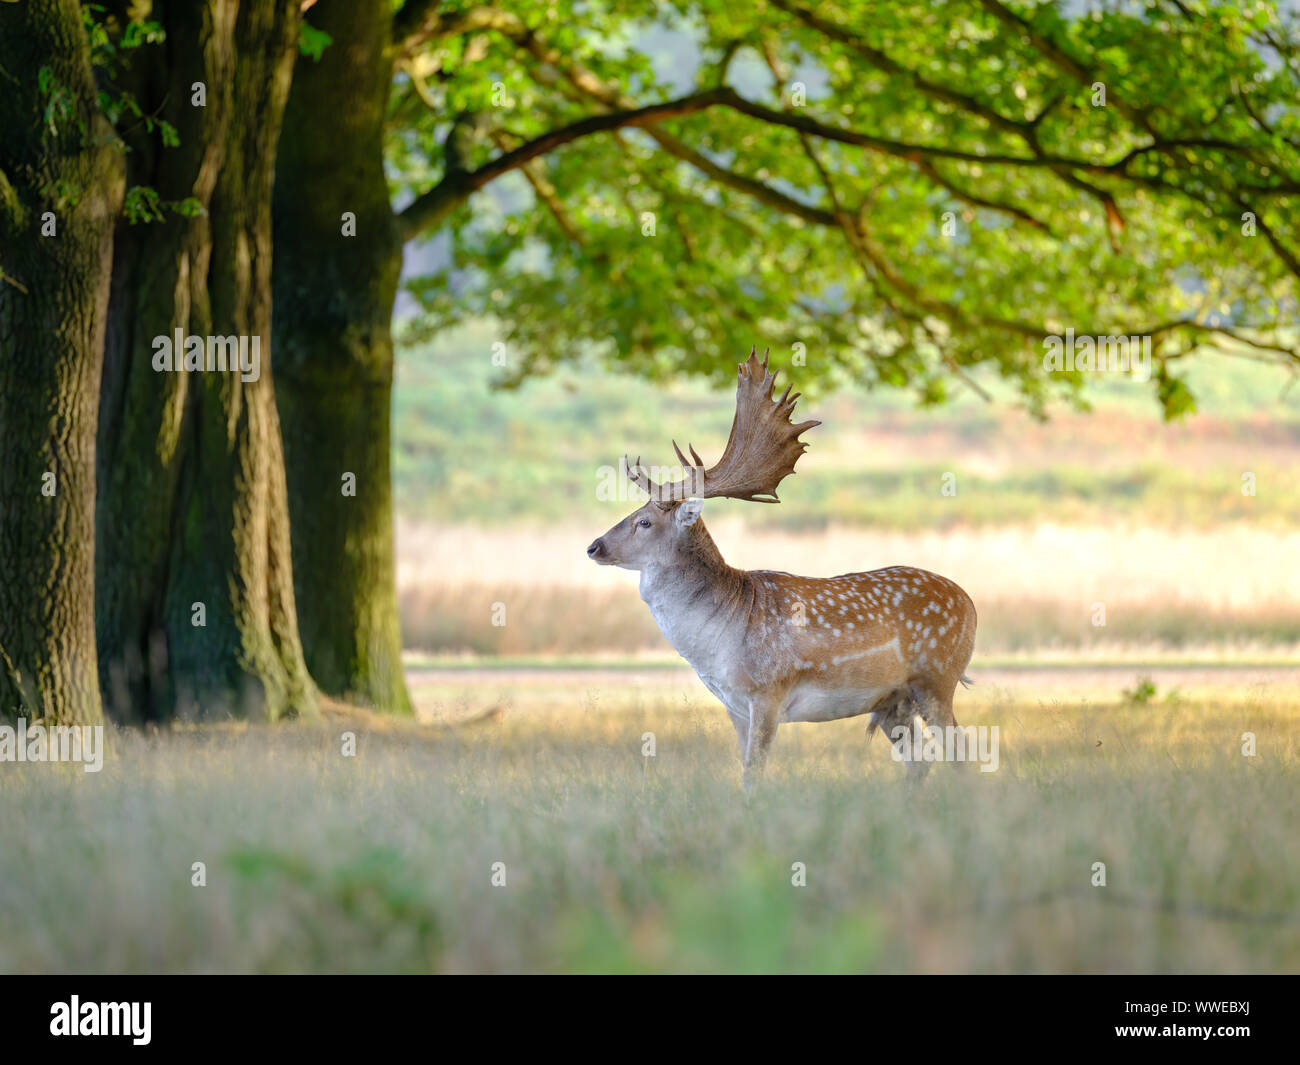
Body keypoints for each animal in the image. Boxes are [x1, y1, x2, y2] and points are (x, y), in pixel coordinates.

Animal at [586, 348, 977, 788]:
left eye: (644, 521)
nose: (594, 547)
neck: (719, 641)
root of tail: (971, 603)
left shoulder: (768, 691)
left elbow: (754, 773)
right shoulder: (734, 705)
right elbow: (744, 768)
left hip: (937, 676)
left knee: (960, 752)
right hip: (894, 700)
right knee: (920, 760)